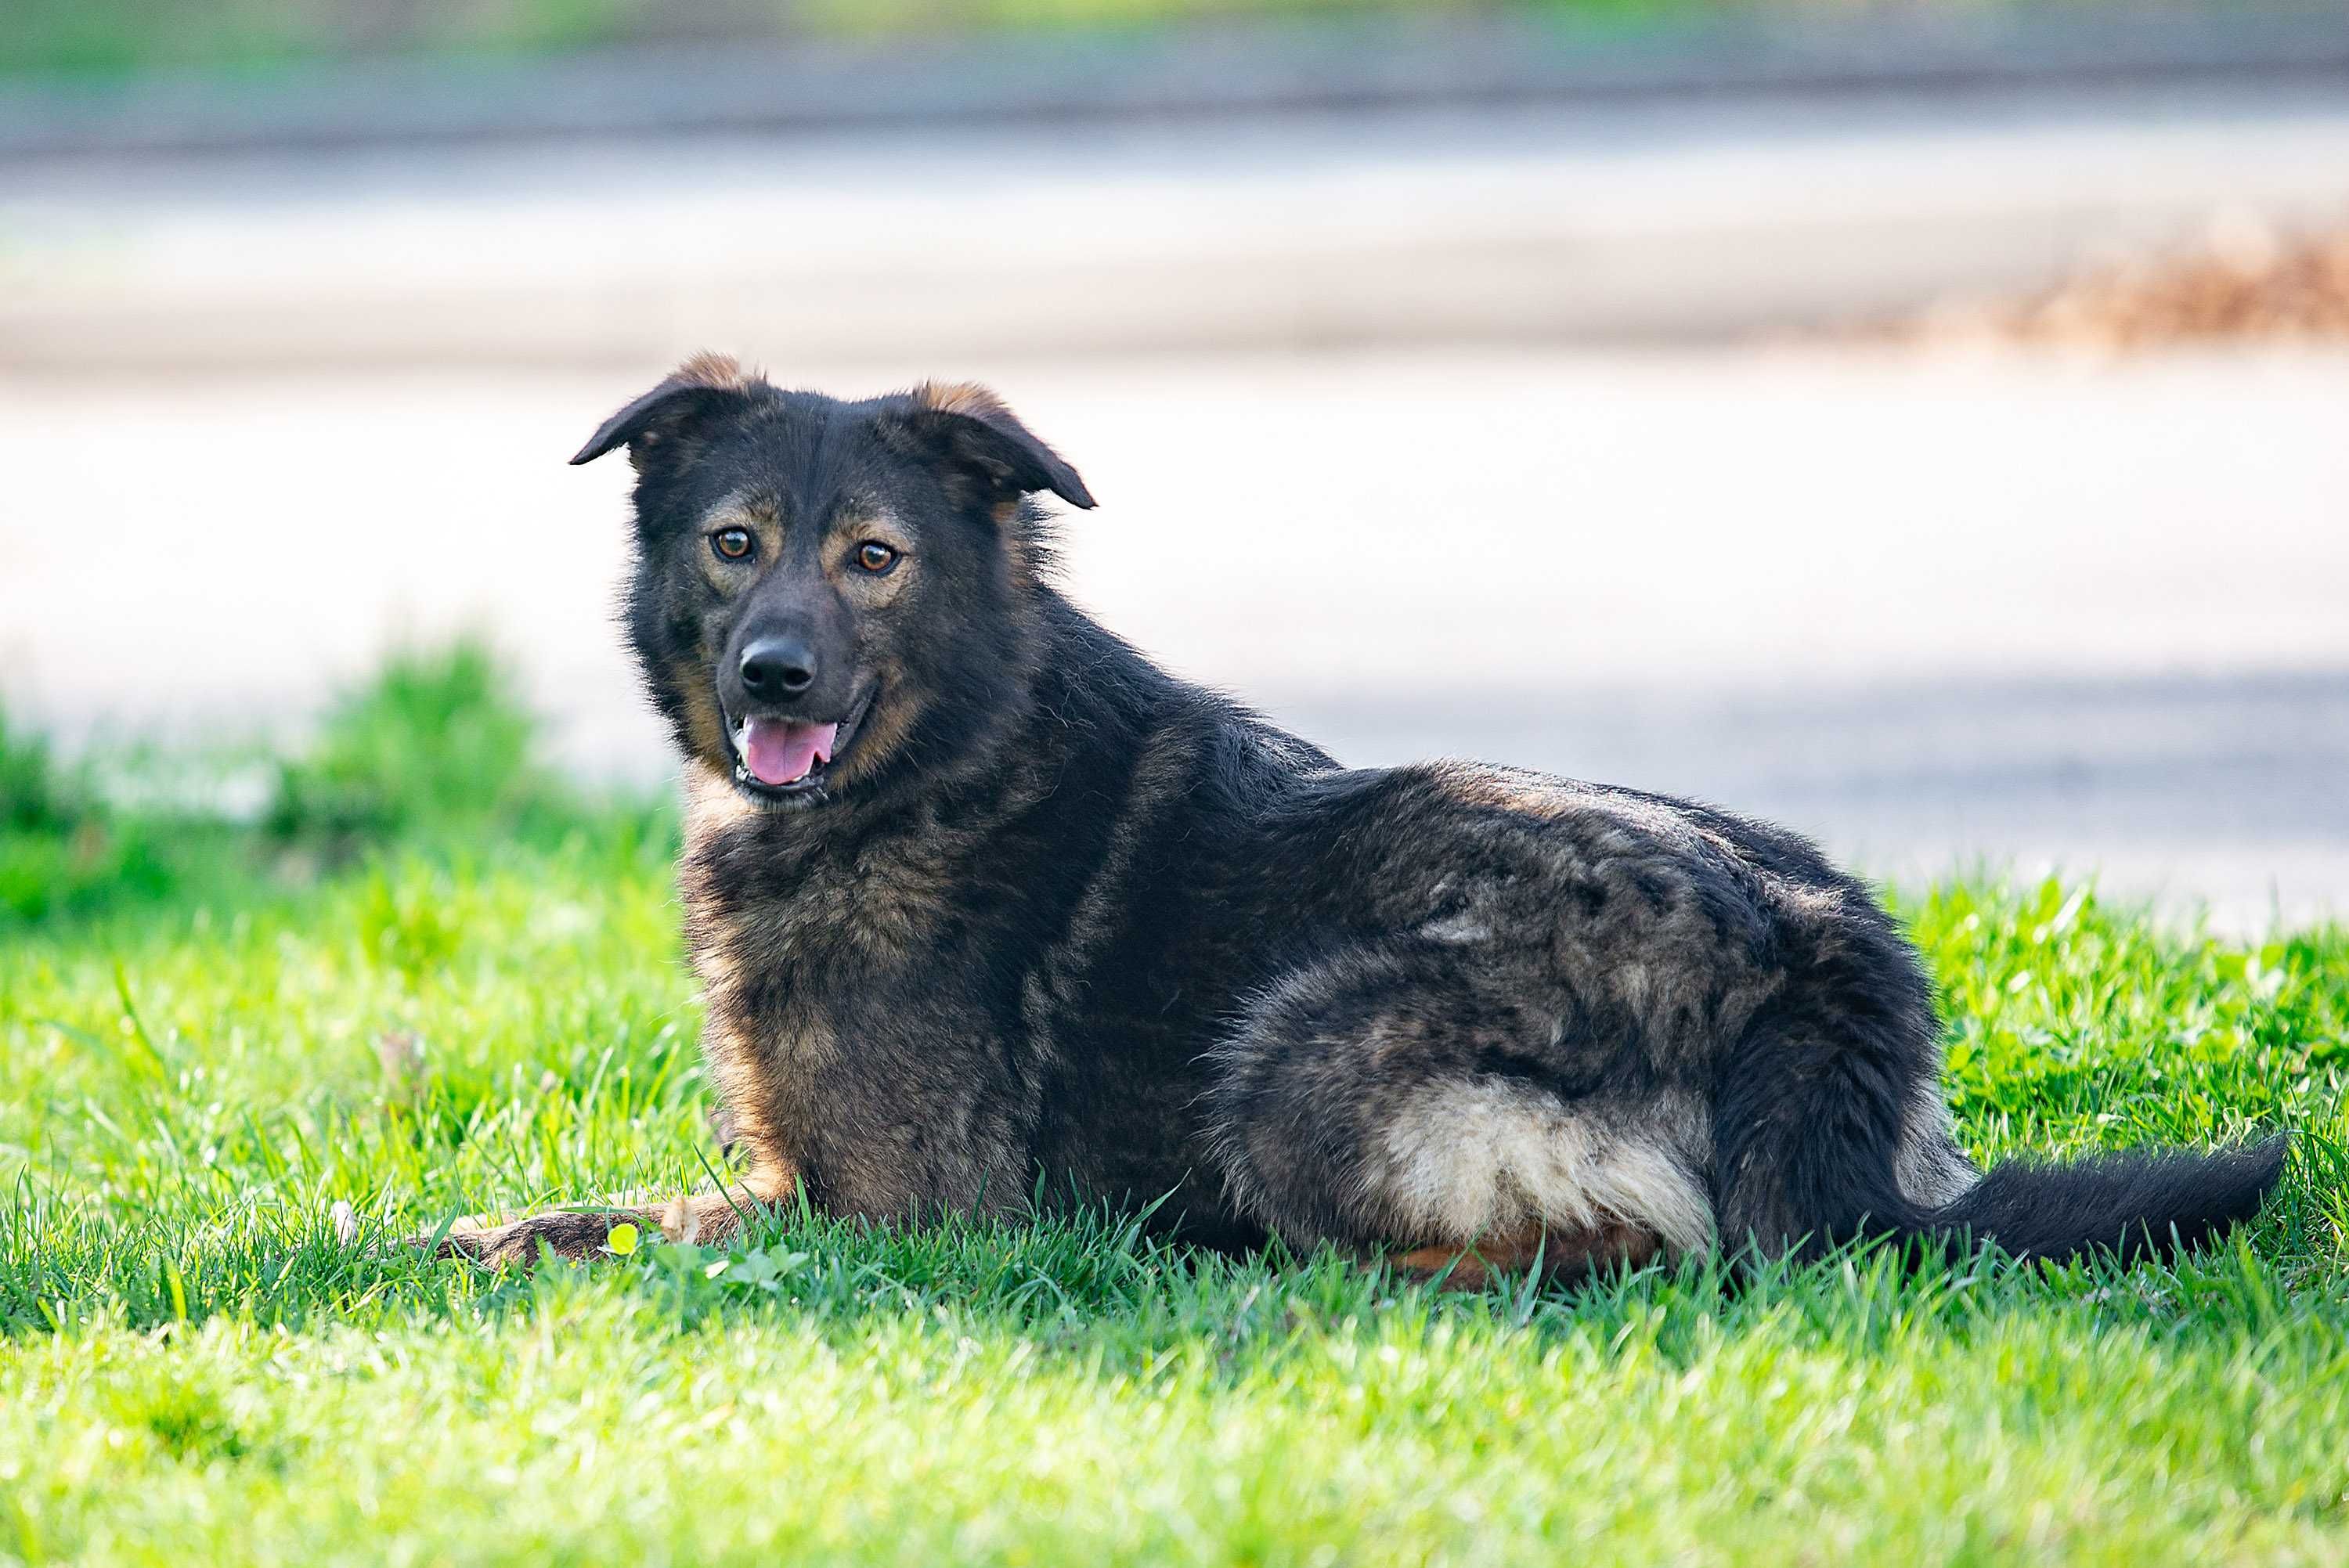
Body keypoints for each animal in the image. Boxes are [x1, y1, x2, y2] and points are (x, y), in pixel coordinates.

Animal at [432, 359, 2283, 1286]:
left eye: (873, 557)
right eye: (736, 543)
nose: (774, 673)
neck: (956, 749)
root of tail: (1813, 958)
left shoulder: (890, 1212)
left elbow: (617, 1224)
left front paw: (464, 1240)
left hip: (1296, 1045)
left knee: (1644, 1252)